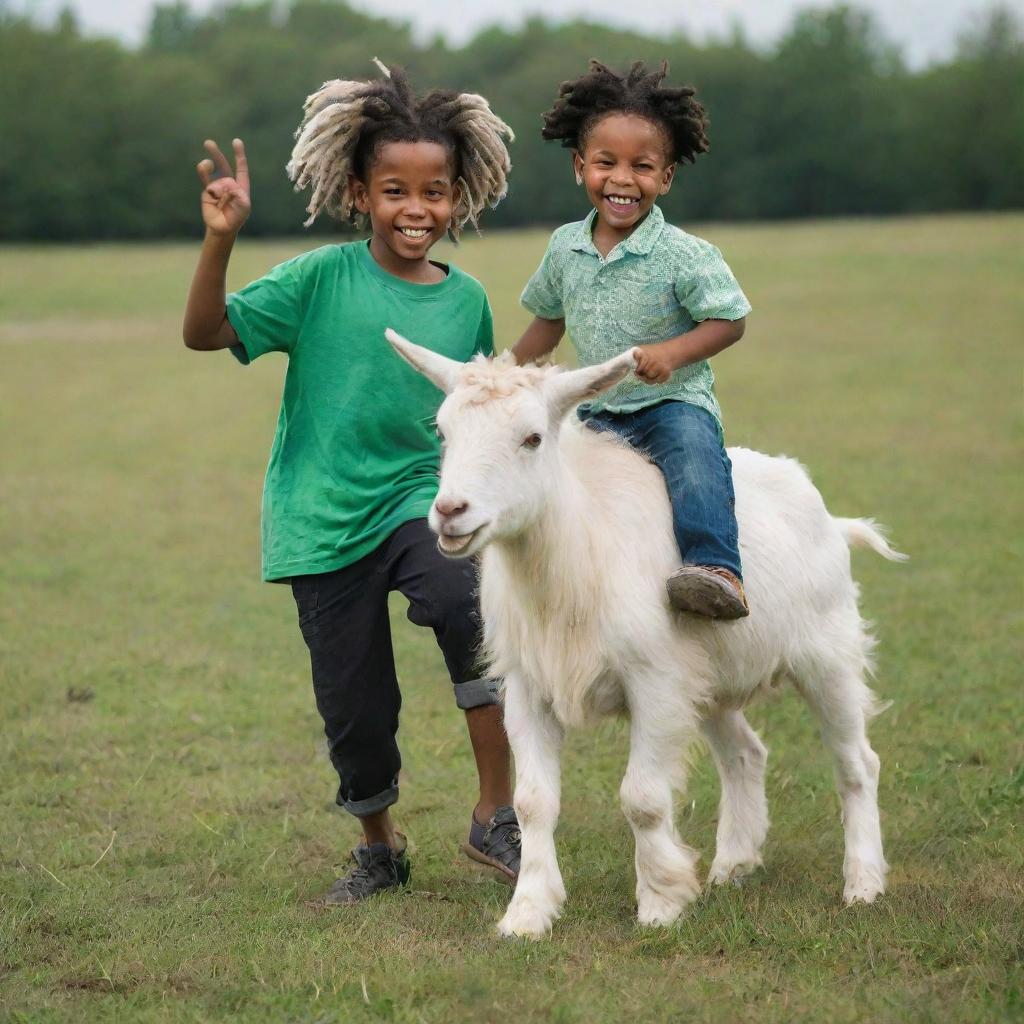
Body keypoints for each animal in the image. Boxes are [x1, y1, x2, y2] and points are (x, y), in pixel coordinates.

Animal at [385, 327, 905, 937]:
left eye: (532, 438)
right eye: (442, 431)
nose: (450, 512)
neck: (577, 555)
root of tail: (828, 517)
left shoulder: (654, 680)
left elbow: (643, 798)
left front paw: (659, 905)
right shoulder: (529, 687)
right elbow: (535, 801)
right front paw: (528, 913)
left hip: (827, 654)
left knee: (856, 763)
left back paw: (863, 884)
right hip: (709, 680)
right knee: (746, 754)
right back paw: (733, 865)